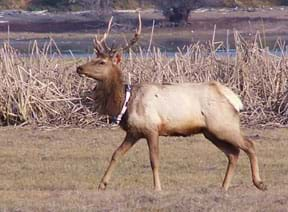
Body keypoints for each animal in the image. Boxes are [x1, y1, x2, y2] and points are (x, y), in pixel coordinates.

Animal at [75, 13, 266, 192]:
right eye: (94, 57)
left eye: (101, 62)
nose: (79, 68)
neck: (125, 103)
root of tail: (234, 99)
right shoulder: (134, 132)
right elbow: (116, 154)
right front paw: (102, 184)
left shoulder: (152, 128)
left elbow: (154, 160)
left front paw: (157, 188)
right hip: (210, 132)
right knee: (233, 153)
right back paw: (224, 186)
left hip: (223, 125)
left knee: (249, 144)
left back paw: (259, 183)